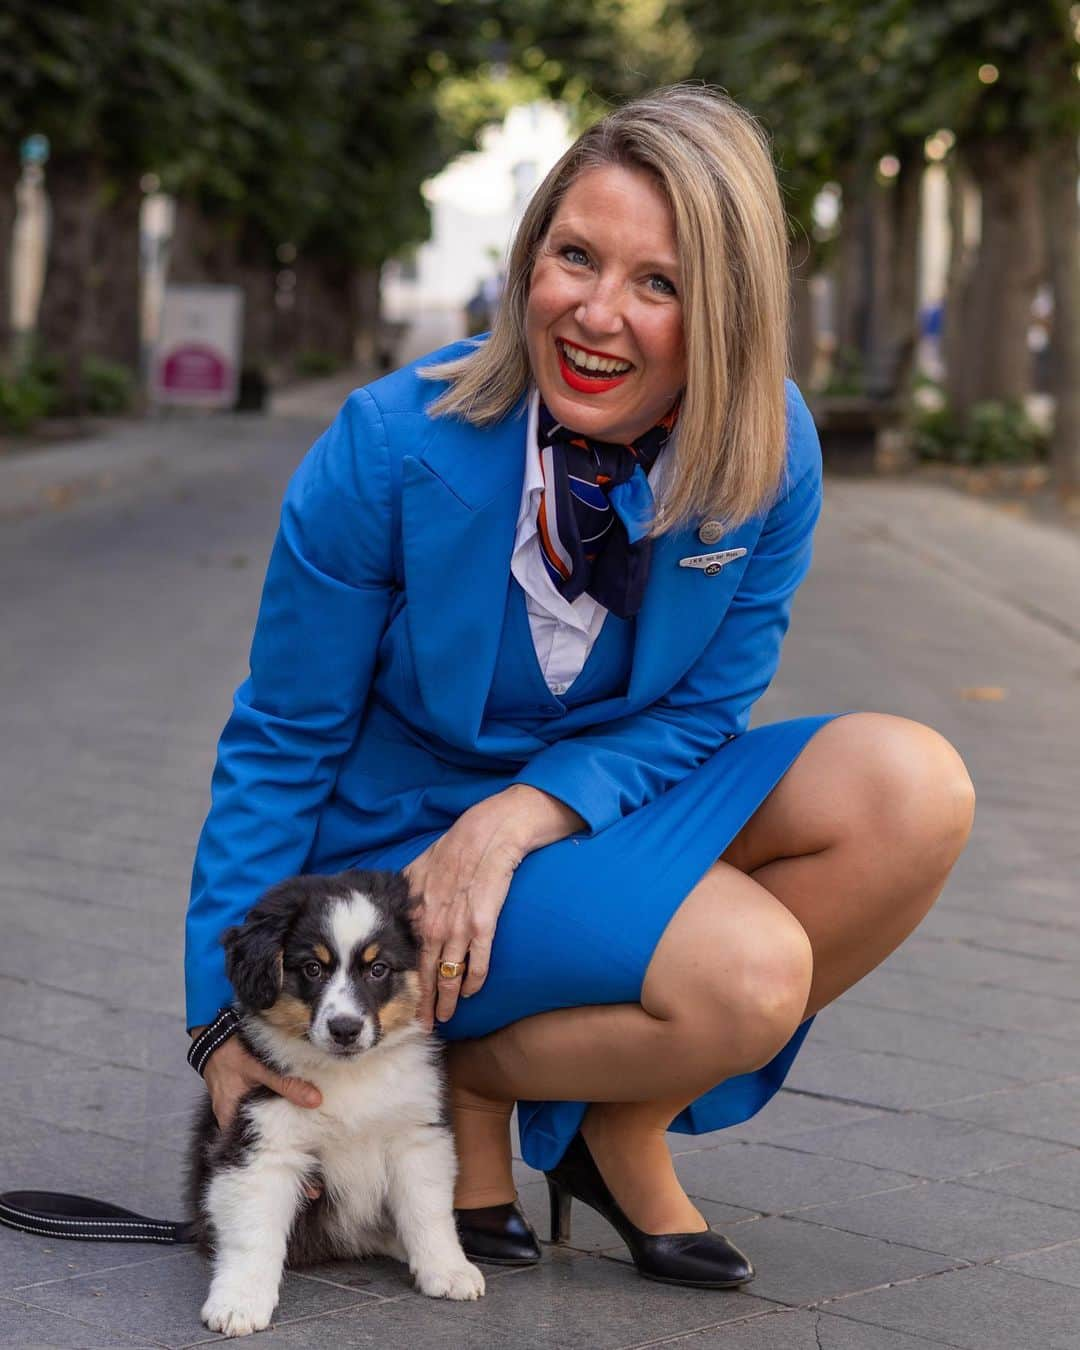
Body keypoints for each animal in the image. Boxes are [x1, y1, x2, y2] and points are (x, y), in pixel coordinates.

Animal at [190, 869, 486, 1333]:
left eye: (378, 969)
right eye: (313, 968)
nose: (345, 1029)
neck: (349, 1073)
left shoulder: (417, 1134)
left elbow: (428, 1209)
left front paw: (448, 1270)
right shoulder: (261, 1139)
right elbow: (252, 1233)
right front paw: (238, 1303)